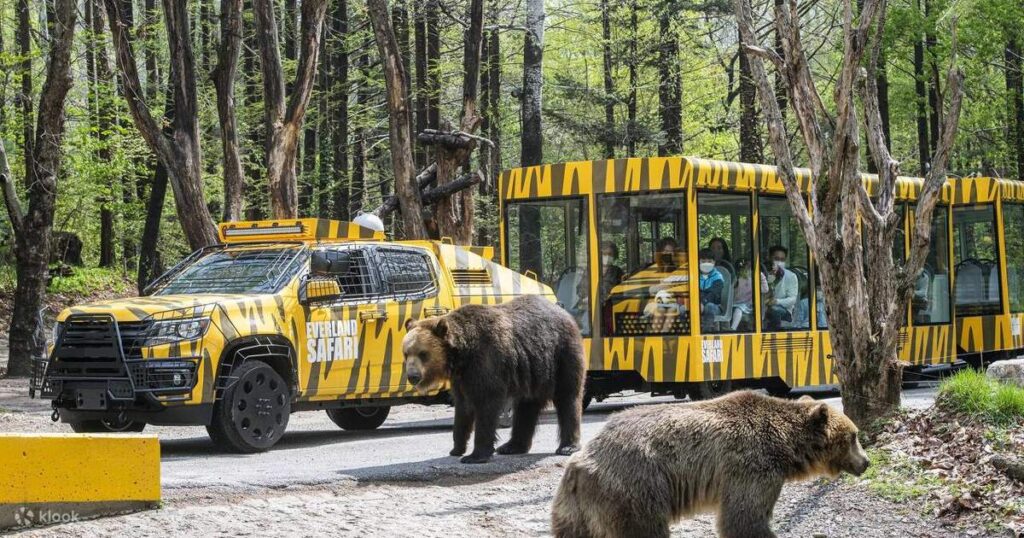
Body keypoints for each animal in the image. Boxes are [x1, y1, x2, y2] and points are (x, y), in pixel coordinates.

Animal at [402, 295, 586, 464]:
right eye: (406, 353)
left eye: (423, 354)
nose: (412, 376)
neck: (461, 355)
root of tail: (563, 311)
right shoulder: (462, 378)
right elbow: (463, 408)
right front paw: (456, 449)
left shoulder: (486, 361)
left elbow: (486, 405)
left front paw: (475, 456)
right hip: (533, 369)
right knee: (526, 406)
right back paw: (511, 446)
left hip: (561, 354)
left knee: (567, 396)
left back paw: (567, 446)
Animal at [550, 391, 870, 538]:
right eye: (854, 436)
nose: (866, 462)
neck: (786, 448)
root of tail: (581, 461)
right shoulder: (751, 466)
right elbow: (744, 517)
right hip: (634, 489)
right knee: (644, 529)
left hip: (576, 510)